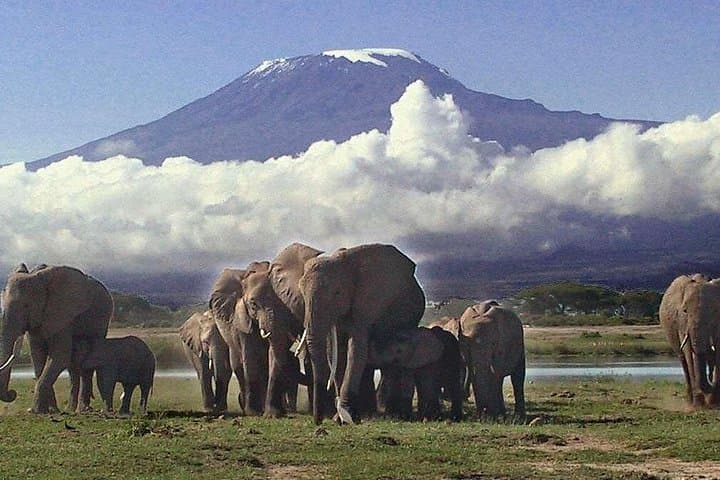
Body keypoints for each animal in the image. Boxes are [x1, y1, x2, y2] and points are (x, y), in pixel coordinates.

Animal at [0, 264, 113, 413]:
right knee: (73, 365)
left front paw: (36, 411)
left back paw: (82, 409)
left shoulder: (63, 315)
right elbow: (38, 358)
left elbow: (59, 356)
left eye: (26, 306)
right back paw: (70, 409)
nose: (12, 393)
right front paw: (50, 410)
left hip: (102, 319)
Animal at [299, 243, 426, 425]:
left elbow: (356, 350)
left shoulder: (366, 304)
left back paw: (395, 415)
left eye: (337, 292)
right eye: (301, 292)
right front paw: (339, 419)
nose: (318, 422)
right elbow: (336, 352)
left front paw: (346, 417)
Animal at [659, 274, 720, 407]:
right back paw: (690, 401)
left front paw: (713, 402)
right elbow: (689, 352)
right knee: (684, 361)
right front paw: (699, 404)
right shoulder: (682, 323)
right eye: (685, 310)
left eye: (715, 310)